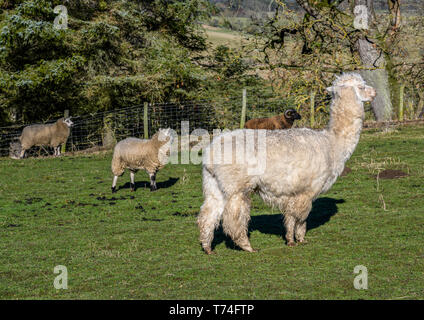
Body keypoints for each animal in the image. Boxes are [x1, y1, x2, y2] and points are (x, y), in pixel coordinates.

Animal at [197, 73, 376, 255]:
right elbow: (301, 218)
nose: (374, 92)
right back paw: (247, 246)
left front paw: (290, 239)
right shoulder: (307, 189)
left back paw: (207, 247)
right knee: (234, 217)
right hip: (237, 186)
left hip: (214, 183)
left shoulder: (293, 191)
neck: (331, 144)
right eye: (362, 86)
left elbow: (290, 217)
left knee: (208, 213)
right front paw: (299, 239)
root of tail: (210, 152)